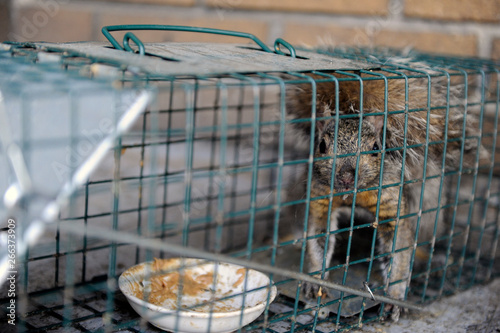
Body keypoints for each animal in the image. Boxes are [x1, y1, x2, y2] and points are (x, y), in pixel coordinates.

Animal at [284, 67, 490, 320]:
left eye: (375, 148)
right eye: (321, 146)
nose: (346, 176)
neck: (353, 195)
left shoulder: (391, 204)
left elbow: (399, 249)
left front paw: (396, 296)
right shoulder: (320, 199)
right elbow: (318, 238)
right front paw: (315, 280)